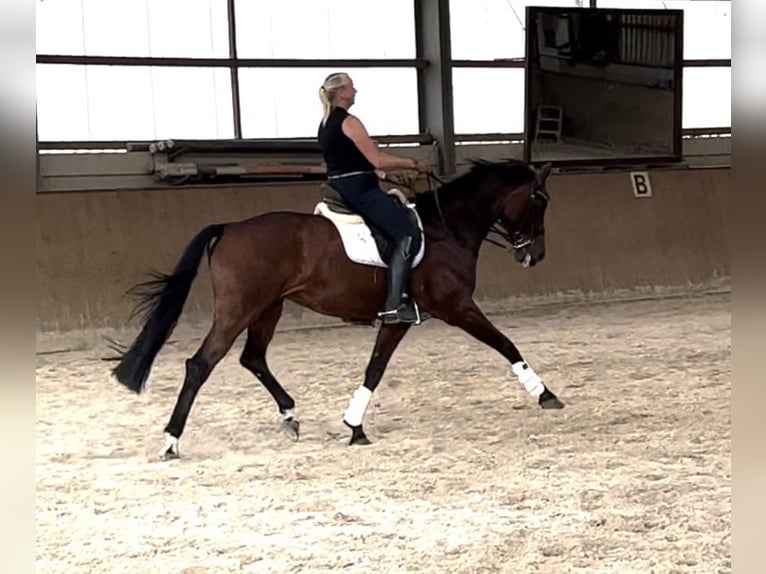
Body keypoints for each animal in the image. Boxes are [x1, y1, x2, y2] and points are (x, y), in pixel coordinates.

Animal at [112, 159, 564, 460]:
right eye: (539, 200)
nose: (536, 255)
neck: (445, 229)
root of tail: (229, 228)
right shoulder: (457, 307)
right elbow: (506, 345)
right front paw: (545, 394)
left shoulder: (398, 320)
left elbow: (374, 369)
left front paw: (355, 426)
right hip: (238, 311)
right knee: (200, 365)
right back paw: (171, 441)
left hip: (267, 309)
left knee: (253, 358)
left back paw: (290, 415)